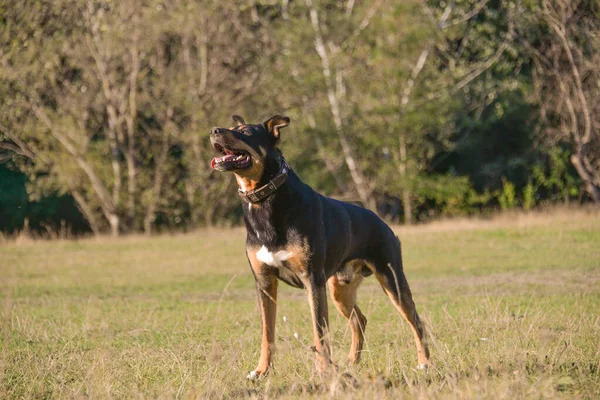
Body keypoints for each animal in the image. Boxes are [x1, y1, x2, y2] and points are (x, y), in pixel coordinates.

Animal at [209, 115, 428, 378]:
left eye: (245, 132)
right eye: (232, 128)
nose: (213, 130)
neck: (265, 200)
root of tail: (383, 223)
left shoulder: (312, 280)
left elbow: (319, 332)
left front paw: (323, 370)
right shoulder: (264, 282)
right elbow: (267, 333)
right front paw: (262, 371)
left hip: (391, 280)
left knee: (416, 321)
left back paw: (424, 363)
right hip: (339, 290)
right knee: (359, 320)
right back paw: (351, 362)